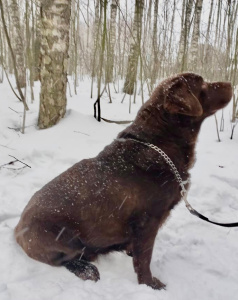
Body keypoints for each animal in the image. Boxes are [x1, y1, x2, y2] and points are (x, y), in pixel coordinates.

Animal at [15, 72, 232, 288]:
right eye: (203, 84)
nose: (230, 83)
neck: (159, 144)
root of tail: (18, 228)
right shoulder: (148, 221)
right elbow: (144, 258)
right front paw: (149, 284)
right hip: (66, 239)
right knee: (65, 259)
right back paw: (87, 269)